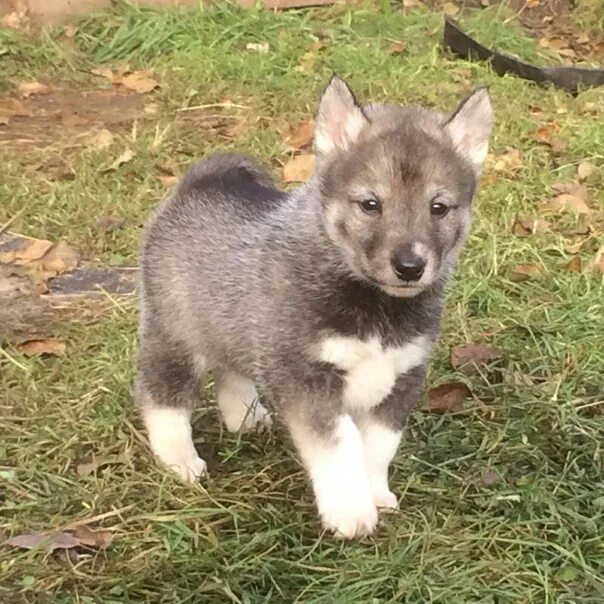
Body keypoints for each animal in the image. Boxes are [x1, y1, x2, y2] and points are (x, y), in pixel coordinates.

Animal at [136, 76, 490, 536]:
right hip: (174, 335)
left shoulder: (400, 379)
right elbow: (341, 446)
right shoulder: (308, 379)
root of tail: (200, 182)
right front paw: (351, 511)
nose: (410, 267)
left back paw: (245, 418)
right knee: (162, 397)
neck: (375, 306)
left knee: (231, 370)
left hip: (236, 325)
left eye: (439, 207)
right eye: (371, 204)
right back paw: (179, 459)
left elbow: (378, 448)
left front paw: (376, 493)